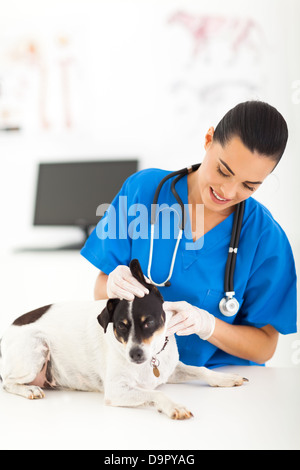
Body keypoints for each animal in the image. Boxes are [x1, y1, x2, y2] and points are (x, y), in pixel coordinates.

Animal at [0, 258, 248, 420]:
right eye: (121, 326)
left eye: (148, 322)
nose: (135, 354)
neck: (151, 361)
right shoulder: (117, 391)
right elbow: (156, 393)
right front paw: (173, 406)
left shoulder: (170, 369)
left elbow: (201, 370)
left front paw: (225, 378)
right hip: (36, 346)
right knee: (7, 382)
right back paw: (29, 390)